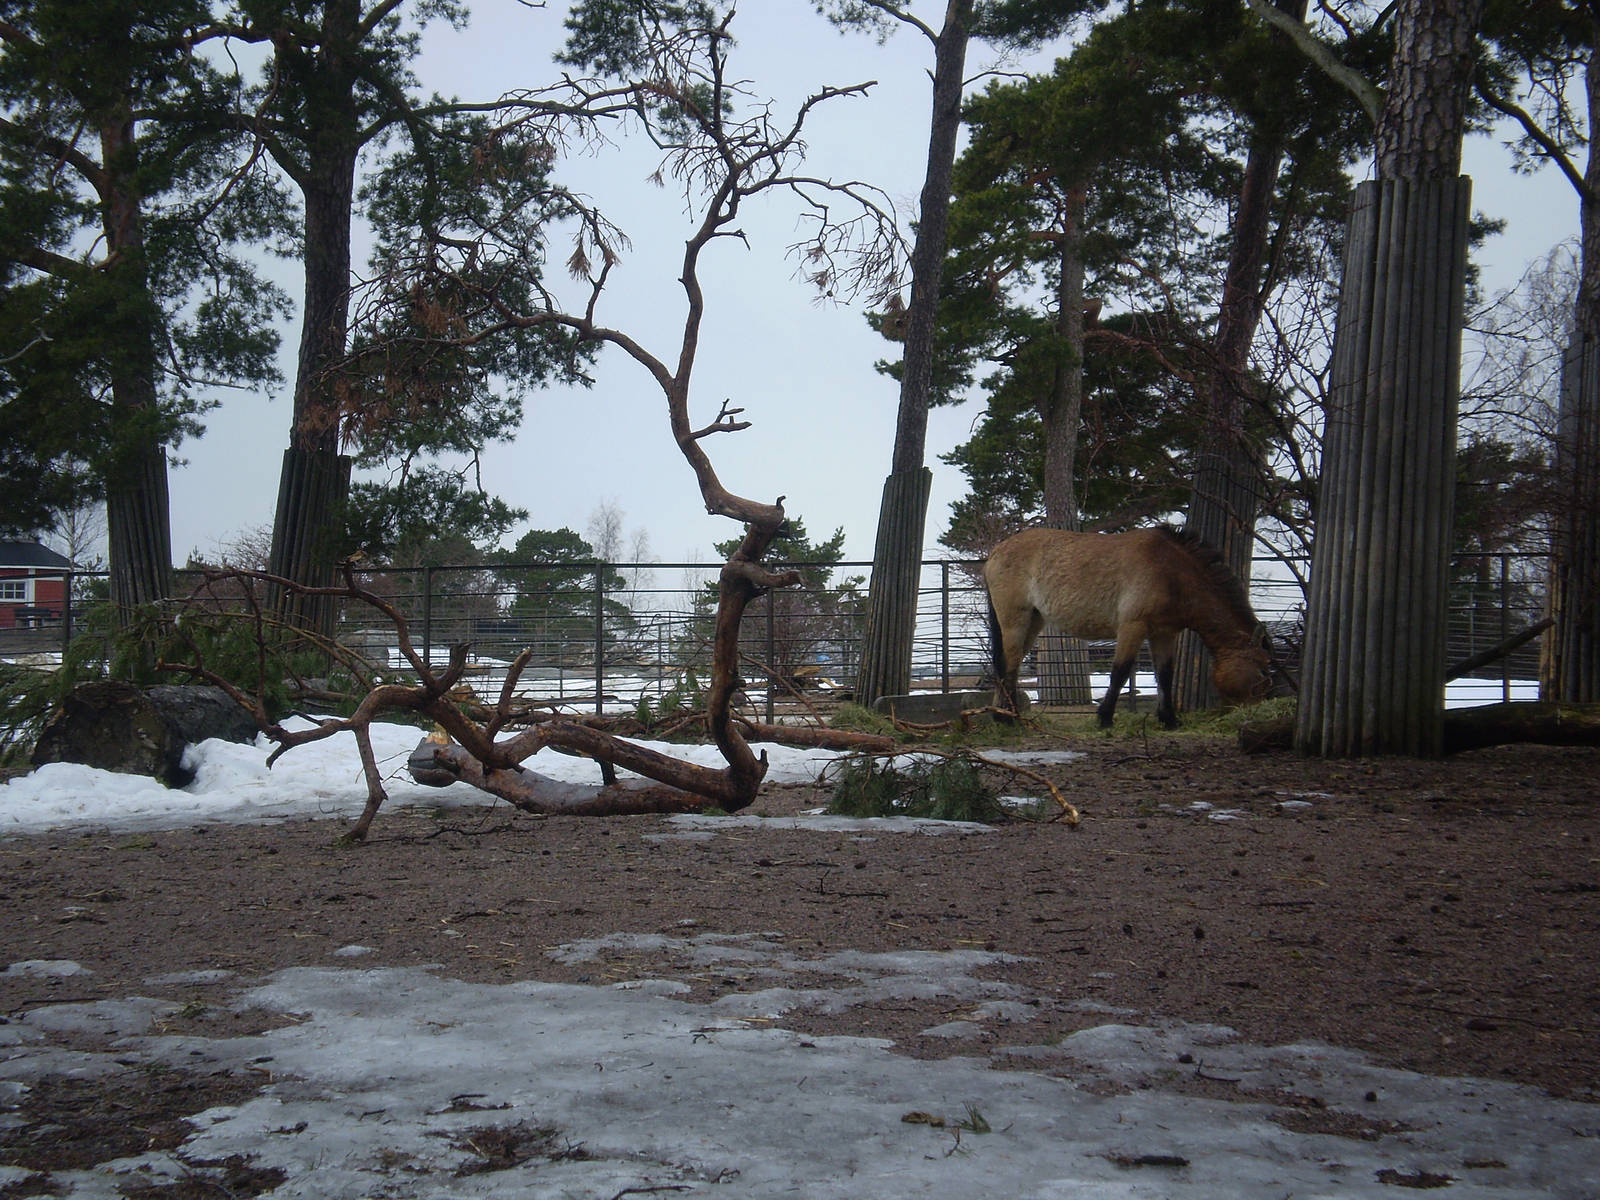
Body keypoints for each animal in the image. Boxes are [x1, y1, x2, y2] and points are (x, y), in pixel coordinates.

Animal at [983, 525, 1274, 729]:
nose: (1254, 714)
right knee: (1010, 664)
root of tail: (995, 552)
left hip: (1034, 620)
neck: (1171, 572)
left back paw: (1002, 715)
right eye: (1262, 671)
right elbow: (1120, 672)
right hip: (1015, 619)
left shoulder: (1164, 634)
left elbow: (1165, 675)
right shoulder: (1133, 627)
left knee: (1009, 663)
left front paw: (1169, 719)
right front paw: (1105, 718)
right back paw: (1009, 717)